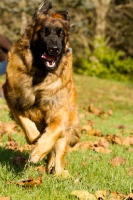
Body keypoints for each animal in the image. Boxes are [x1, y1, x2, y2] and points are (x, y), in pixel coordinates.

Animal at [2, 1, 80, 177]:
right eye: (44, 31)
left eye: (61, 34)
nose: (54, 49)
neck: (40, 76)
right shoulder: (12, 98)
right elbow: (28, 128)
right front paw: (36, 141)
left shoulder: (60, 113)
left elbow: (53, 132)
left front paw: (38, 151)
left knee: (58, 156)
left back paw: (59, 173)